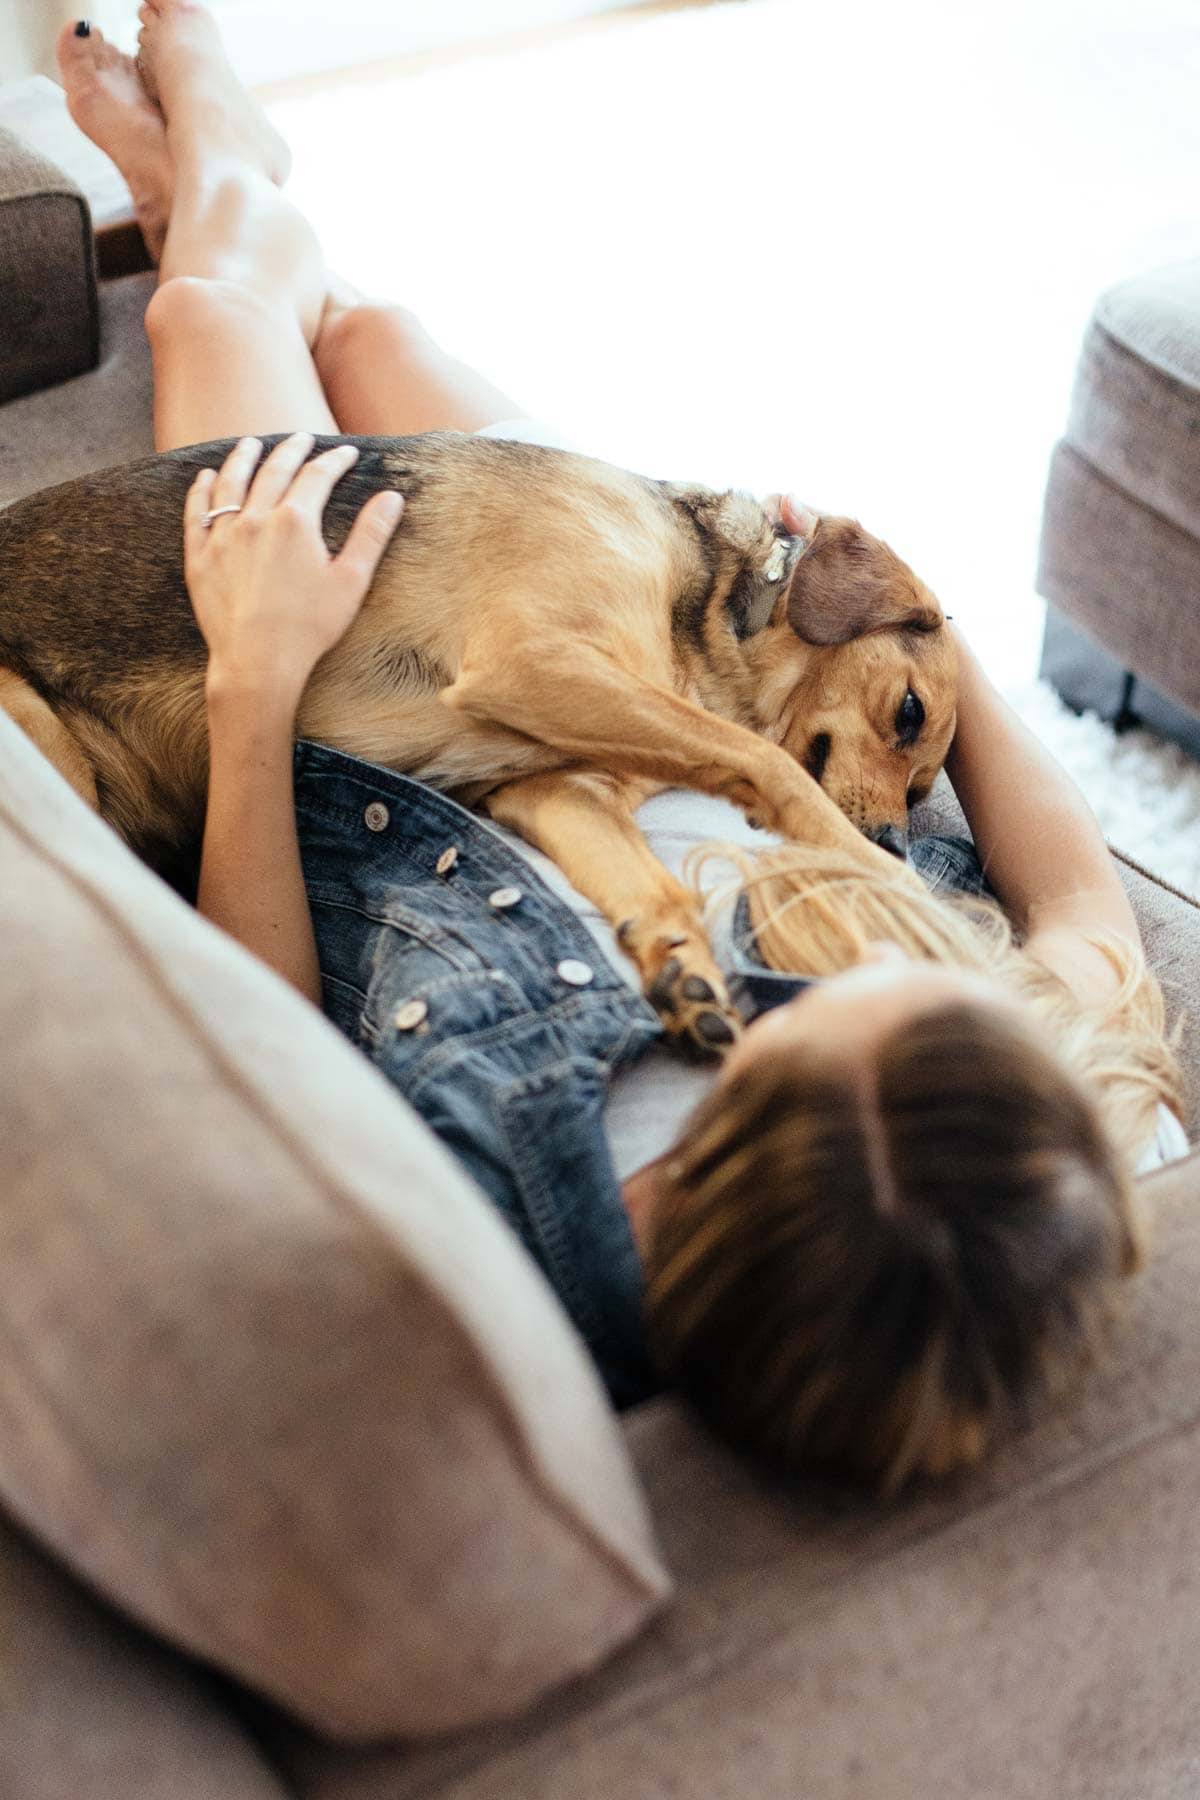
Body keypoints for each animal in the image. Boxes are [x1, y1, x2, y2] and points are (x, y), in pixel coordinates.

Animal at [0, 433, 957, 1051]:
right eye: (908, 713)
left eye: (922, 793)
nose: (894, 838)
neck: (715, 613)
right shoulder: (530, 659)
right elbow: (765, 761)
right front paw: (885, 883)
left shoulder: (561, 787)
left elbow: (652, 884)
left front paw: (682, 965)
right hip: (49, 747)